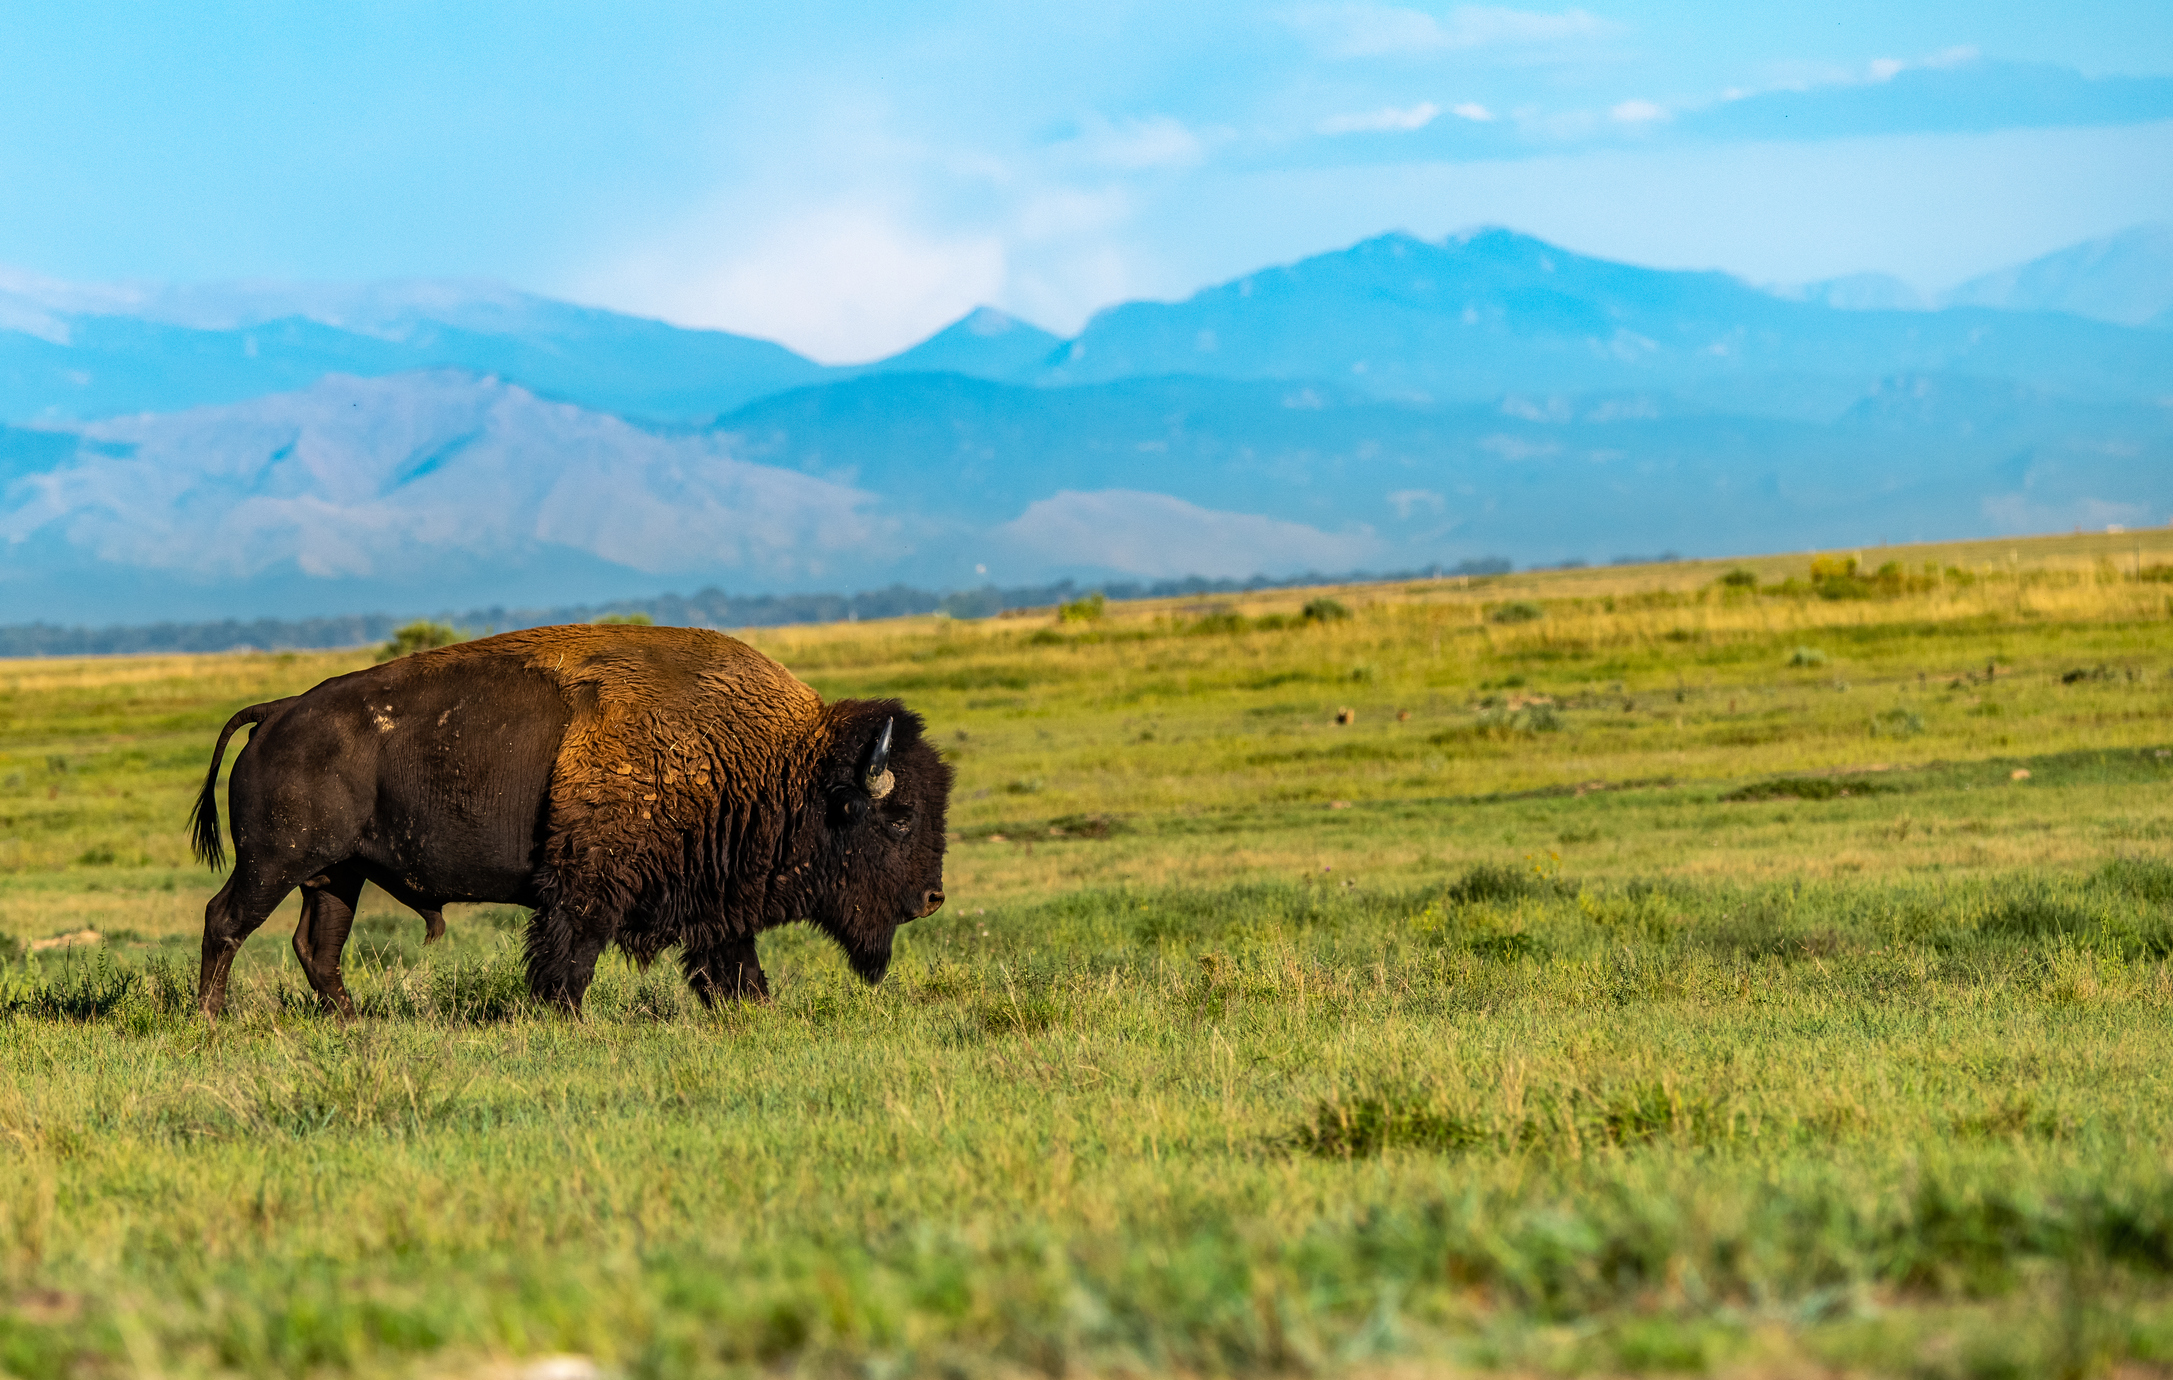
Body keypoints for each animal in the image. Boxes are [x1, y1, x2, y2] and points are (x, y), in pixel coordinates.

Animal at [191, 625, 956, 1017]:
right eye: (898, 818)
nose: (931, 897)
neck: (779, 765)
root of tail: (278, 711)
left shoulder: (717, 904)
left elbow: (734, 963)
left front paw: (753, 1013)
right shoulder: (587, 889)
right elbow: (570, 957)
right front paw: (565, 1017)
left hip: (334, 875)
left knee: (317, 947)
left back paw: (352, 1022)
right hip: (274, 864)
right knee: (225, 920)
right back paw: (212, 1019)